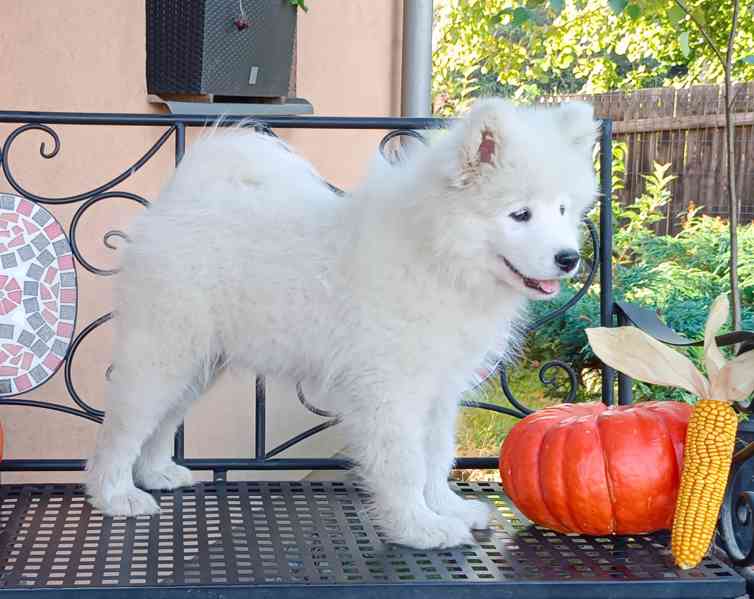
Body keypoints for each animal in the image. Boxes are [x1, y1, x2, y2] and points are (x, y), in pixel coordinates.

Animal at [85, 97, 596, 548]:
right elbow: (405, 464)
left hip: (200, 364)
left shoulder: (438, 388)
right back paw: (116, 494)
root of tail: (173, 205)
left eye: (563, 209)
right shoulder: (390, 388)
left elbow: (437, 455)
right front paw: (419, 528)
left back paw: (156, 473)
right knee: (124, 426)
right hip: (164, 352)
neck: (436, 252)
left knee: (162, 422)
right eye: (520, 214)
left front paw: (446, 507)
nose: (569, 258)